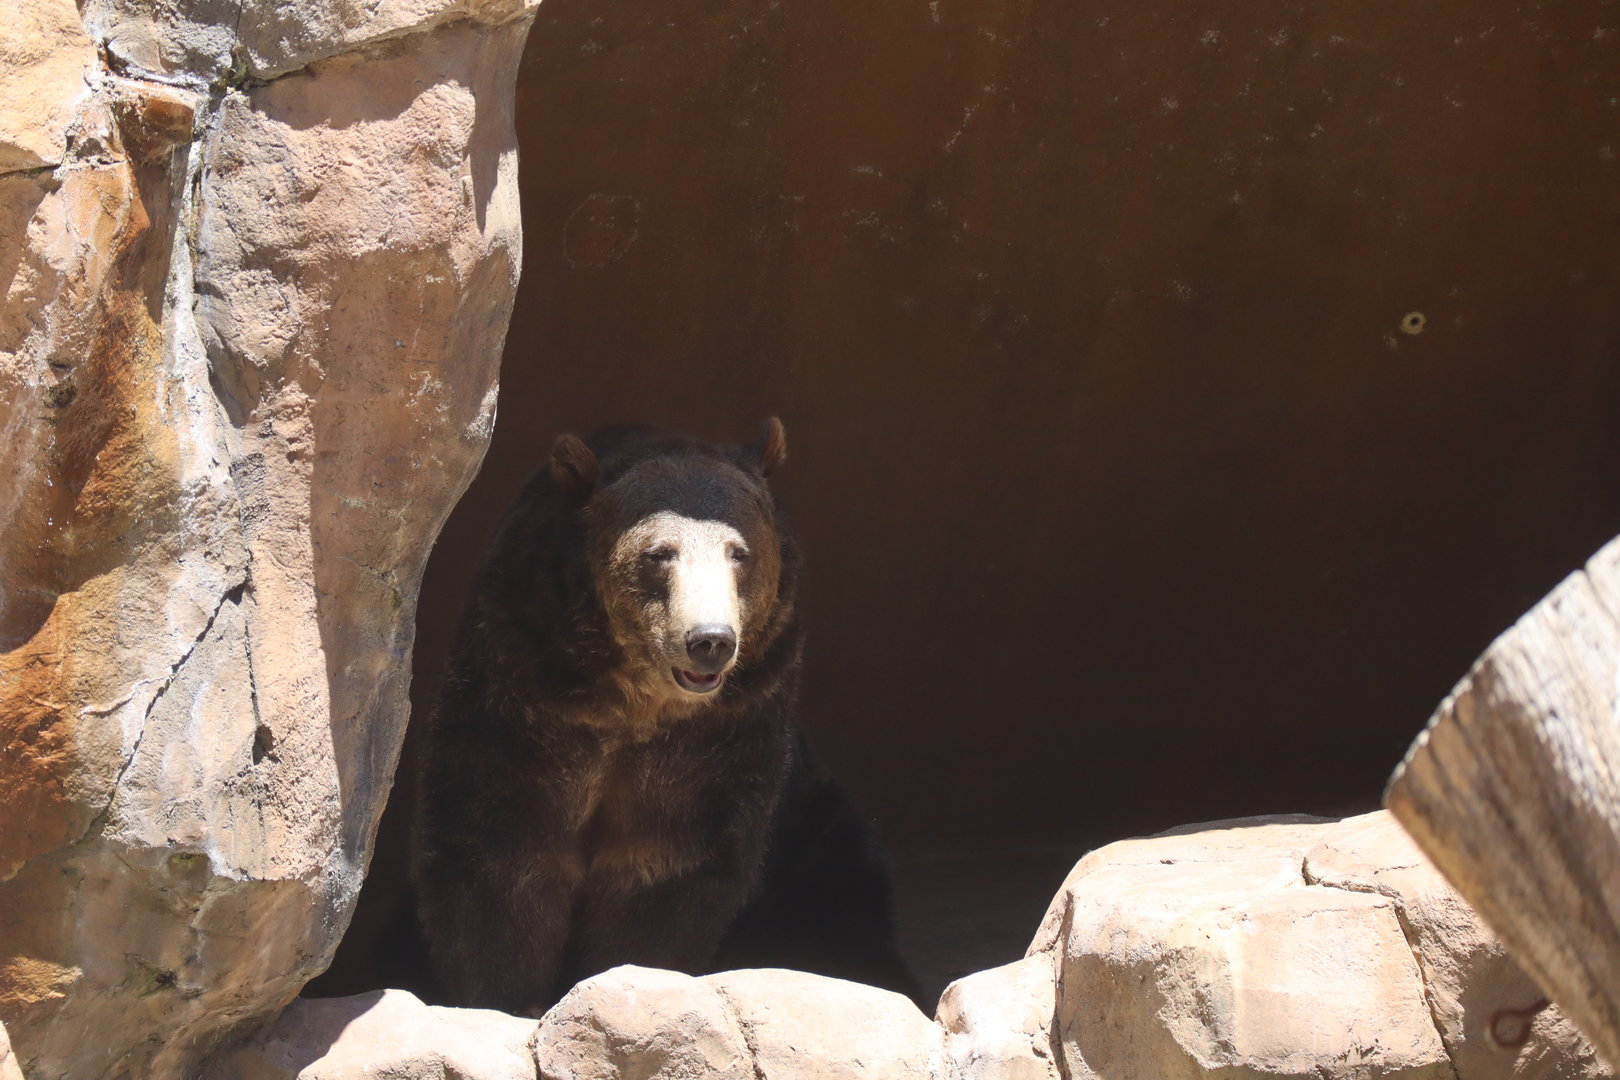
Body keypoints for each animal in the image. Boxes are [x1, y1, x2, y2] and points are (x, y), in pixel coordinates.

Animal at [410, 418, 916, 1015]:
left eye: (738, 552)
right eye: (659, 553)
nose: (710, 641)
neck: (633, 701)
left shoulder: (717, 736)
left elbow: (664, 866)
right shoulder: (527, 697)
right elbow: (502, 849)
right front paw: (510, 998)